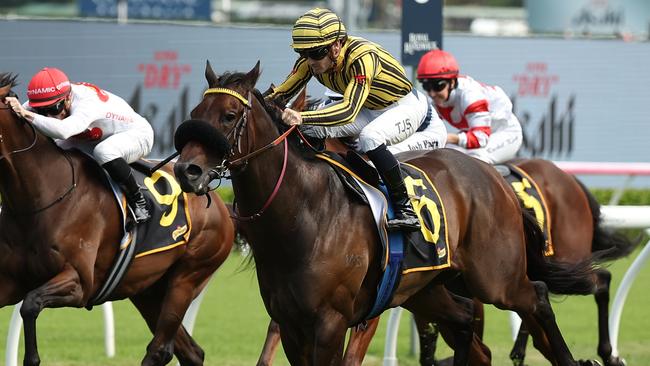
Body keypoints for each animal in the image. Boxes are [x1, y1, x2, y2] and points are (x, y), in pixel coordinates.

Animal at [0, 72, 233, 366]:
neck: (41, 194)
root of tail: (218, 202)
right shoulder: (9, 279)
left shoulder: (79, 283)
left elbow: (30, 305)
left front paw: (32, 358)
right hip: (146, 289)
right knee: (191, 351)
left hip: (187, 277)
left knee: (162, 348)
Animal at [170, 61, 596, 364]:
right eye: (195, 111)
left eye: (228, 115)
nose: (186, 170)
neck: (304, 214)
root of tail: (494, 176)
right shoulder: (290, 323)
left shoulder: (332, 321)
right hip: (427, 290)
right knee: (467, 327)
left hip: (496, 278)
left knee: (537, 297)